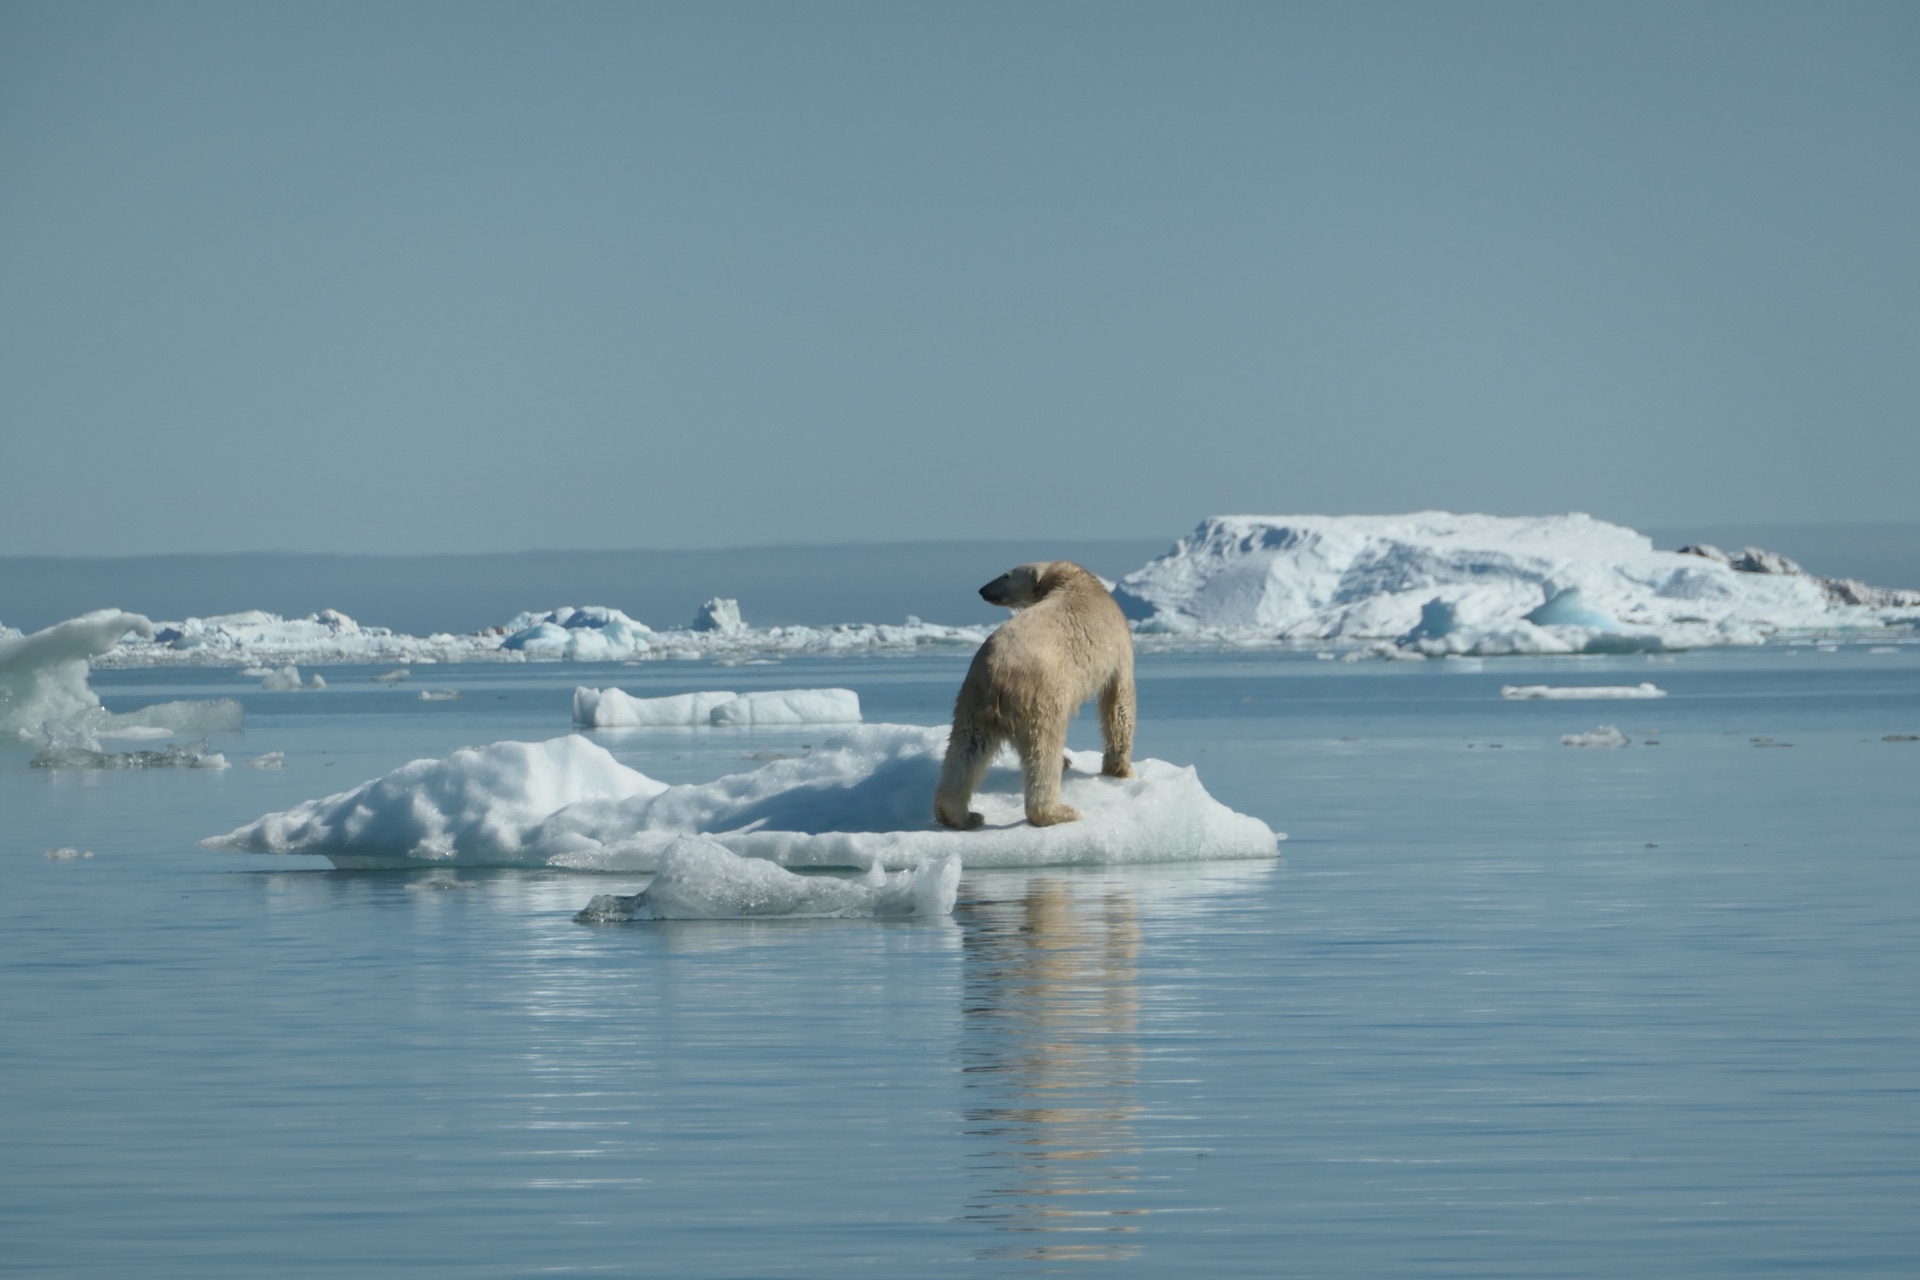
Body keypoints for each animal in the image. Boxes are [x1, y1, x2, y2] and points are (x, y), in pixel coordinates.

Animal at [933, 560, 1128, 832]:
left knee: (967, 749)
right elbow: (1119, 701)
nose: (983, 590)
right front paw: (1121, 770)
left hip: (972, 700)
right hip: (1041, 695)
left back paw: (964, 815)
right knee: (1044, 749)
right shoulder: (1118, 647)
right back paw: (1060, 811)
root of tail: (998, 674)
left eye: (1005, 574)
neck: (1071, 579)